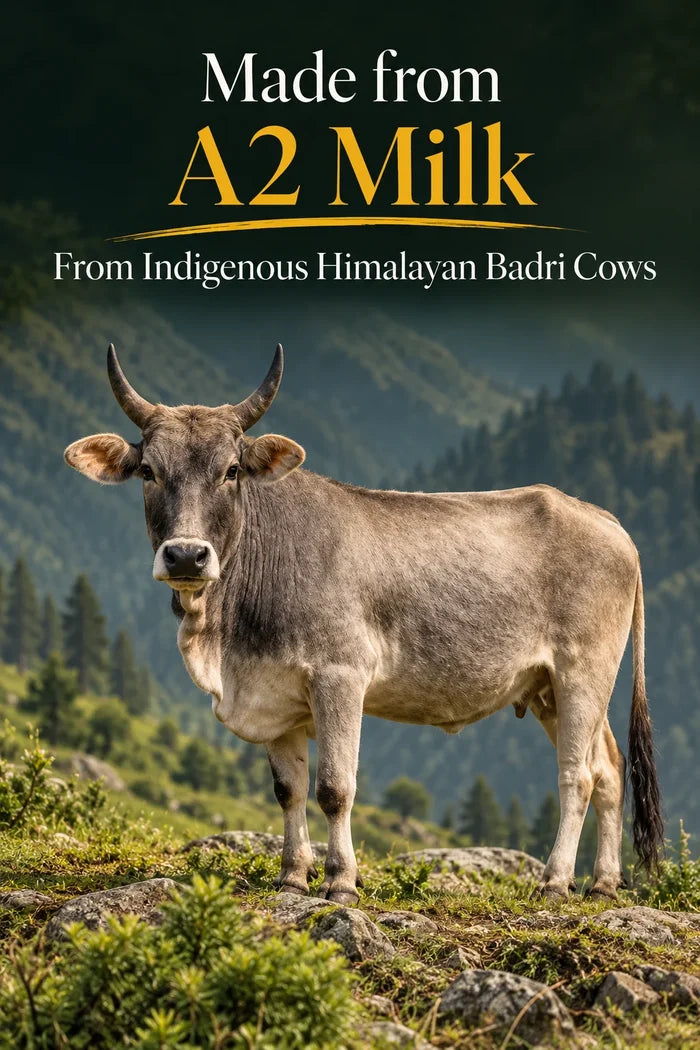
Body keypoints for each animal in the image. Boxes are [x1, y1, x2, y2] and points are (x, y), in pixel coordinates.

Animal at [64, 344, 664, 903]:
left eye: (231, 470)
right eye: (148, 470)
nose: (187, 556)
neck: (226, 644)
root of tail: (608, 522)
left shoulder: (340, 675)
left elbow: (335, 787)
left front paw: (341, 882)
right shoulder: (275, 693)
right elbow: (289, 789)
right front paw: (292, 877)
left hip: (583, 671)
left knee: (577, 775)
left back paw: (556, 882)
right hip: (546, 687)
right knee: (610, 769)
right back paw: (604, 885)